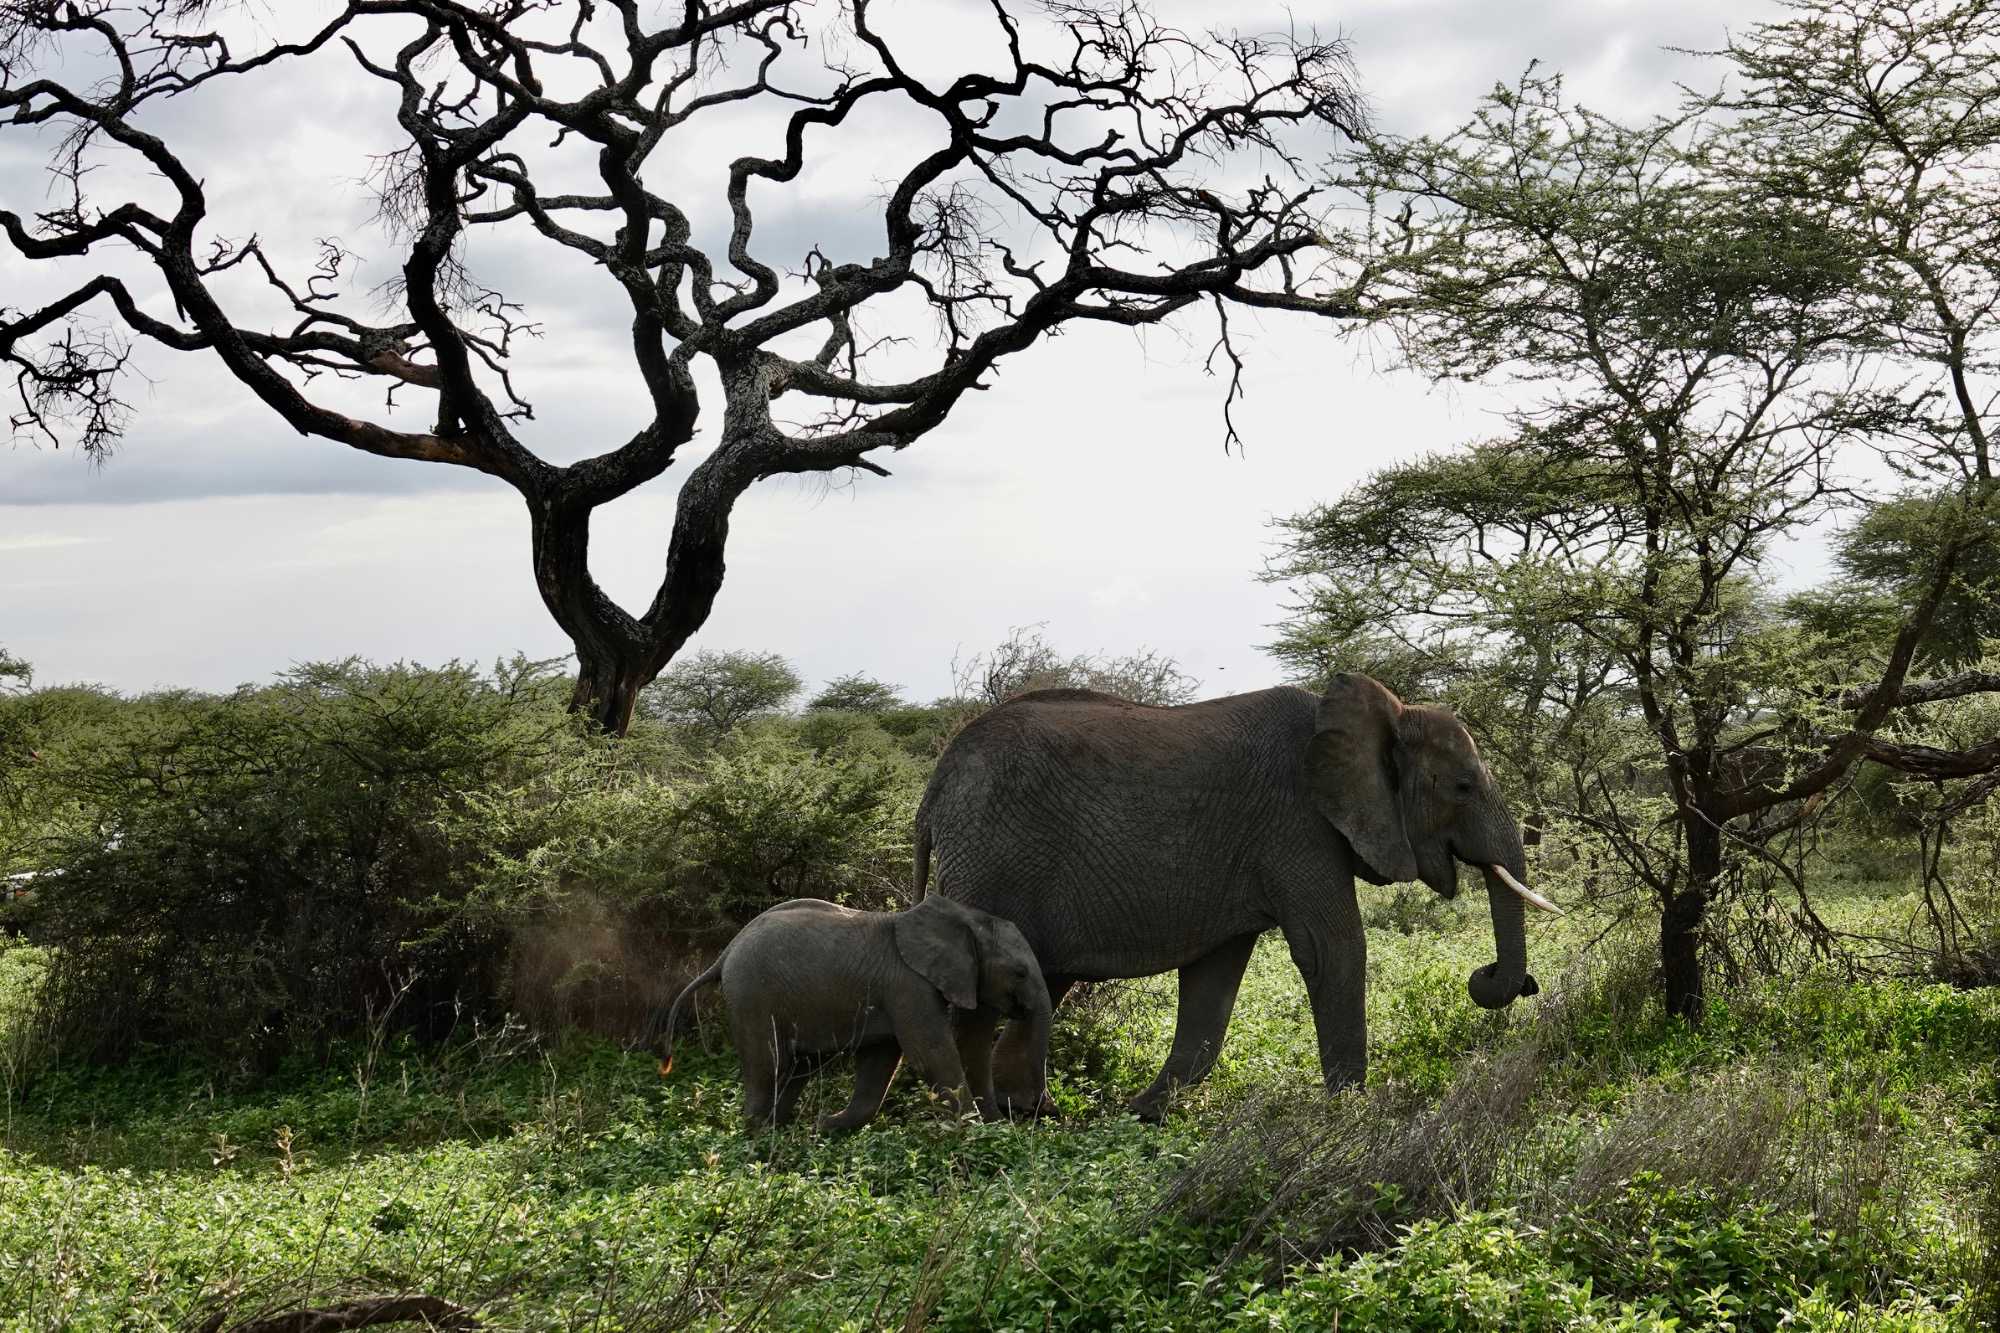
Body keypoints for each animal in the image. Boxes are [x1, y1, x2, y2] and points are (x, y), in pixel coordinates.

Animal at [660, 894, 1052, 1132]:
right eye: (1020, 972)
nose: (1029, 1111)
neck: (963, 918)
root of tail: (724, 953)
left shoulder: (893, 993)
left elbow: (881, 1062)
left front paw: (825, 1125)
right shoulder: (907, 986)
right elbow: (930, 1054)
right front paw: (978, 1131)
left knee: (800, 1066)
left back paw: (782, 1129)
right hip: (751, 995)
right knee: (768, 1063)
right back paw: (758, 1136)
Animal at [913, 673, 1557, 1121]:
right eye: (1463, 787)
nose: (1500, 978)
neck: (1384, 712)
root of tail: (935, 785)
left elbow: (1214, 982)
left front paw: (1141, 1116)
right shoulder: (1297, 824)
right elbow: (1333, 950)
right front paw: (1351, 1118)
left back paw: (1025, 1112)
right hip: (993, 861)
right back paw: (975, 1121)